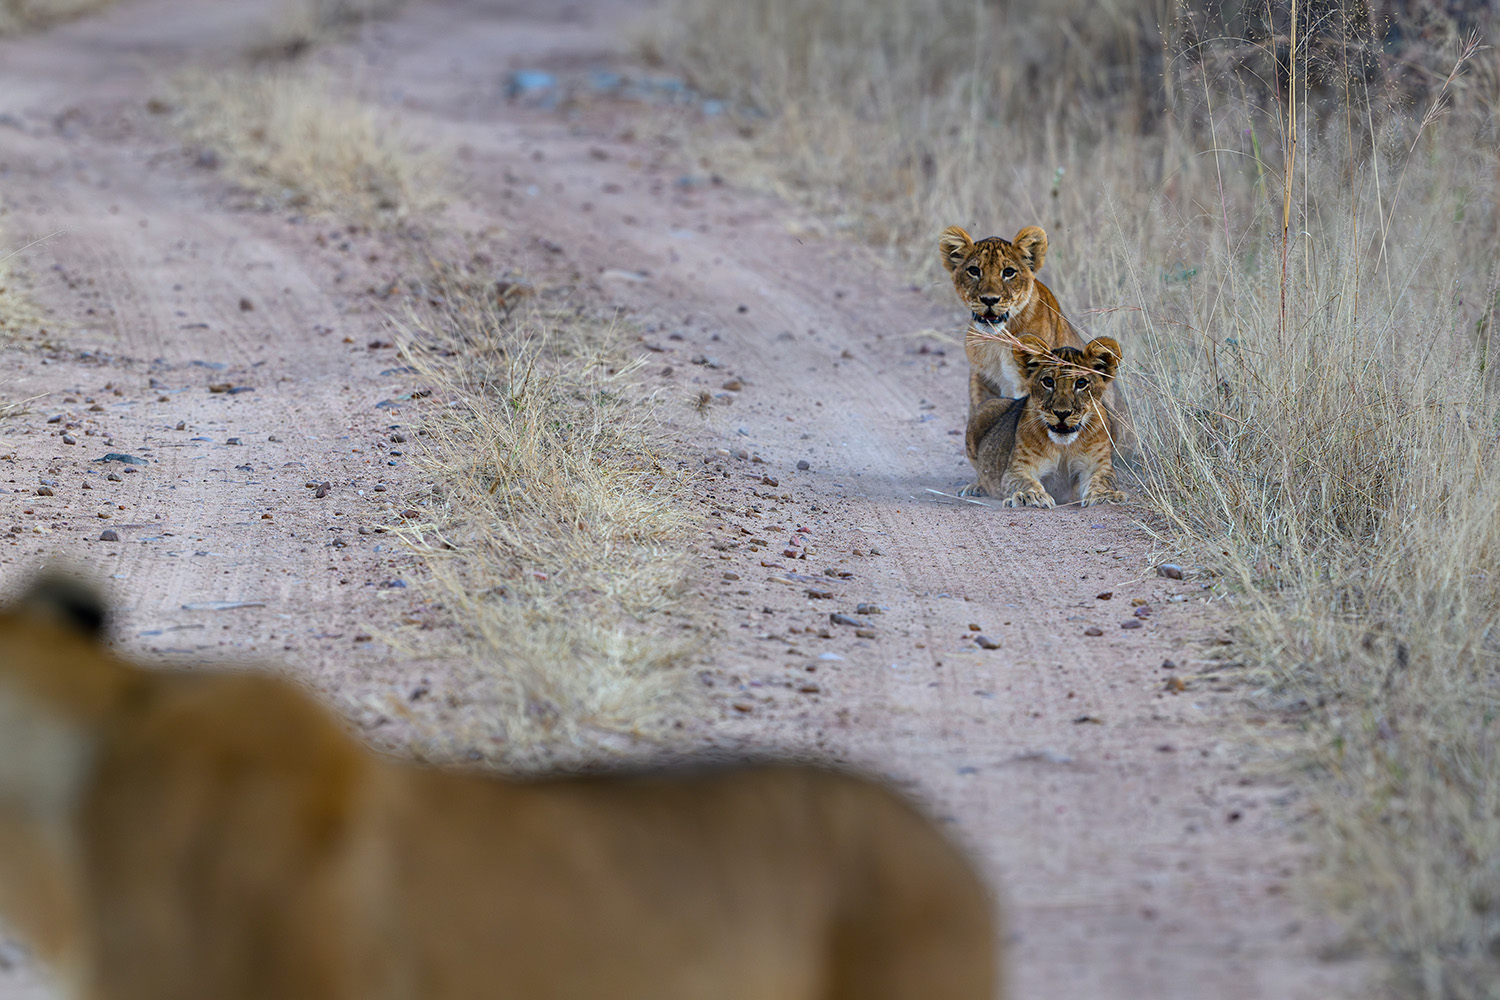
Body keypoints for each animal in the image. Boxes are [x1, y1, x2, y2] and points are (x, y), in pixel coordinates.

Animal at [961, 335, 1126, 508]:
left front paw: (1105, 495)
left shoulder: (1098, 466)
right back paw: (975, 488)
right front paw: (1031, 496)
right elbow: (1023, 482)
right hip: (983, 409)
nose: (1062, 413)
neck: (1064, 446)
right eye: (1048, 382)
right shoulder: (1018, 468)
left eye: (1081, 383)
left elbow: (1102, 480)